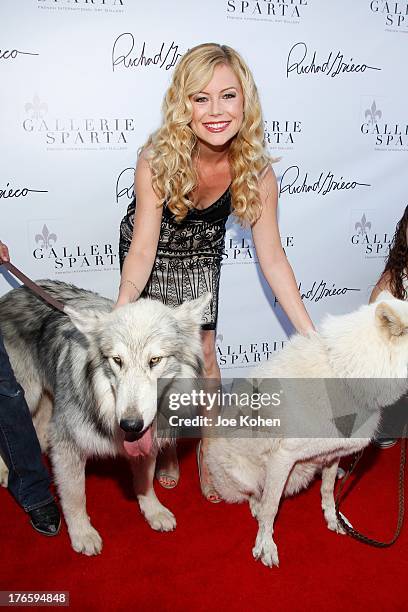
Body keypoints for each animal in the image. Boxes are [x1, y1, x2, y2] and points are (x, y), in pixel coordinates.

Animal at [0, 280, 210, 556]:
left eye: (155, 360)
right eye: (117, 360)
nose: (130, 424)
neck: (105, 408)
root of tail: (14, 291)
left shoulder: (145, 437)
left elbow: (145, 480)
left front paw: (152, 510)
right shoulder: (68, 444)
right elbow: (75, 495)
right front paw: (82, 533)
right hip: (25, 393)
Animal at [207, 292, 408, 568]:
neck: (346, 373)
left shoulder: (333, 453)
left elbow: (328, 490)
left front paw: (334, 518)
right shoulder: (282, 458)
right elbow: (271, 507)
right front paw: (265, 545)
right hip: (242, 472)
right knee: (253, 493)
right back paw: (255, 506)